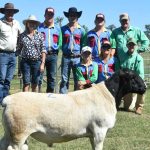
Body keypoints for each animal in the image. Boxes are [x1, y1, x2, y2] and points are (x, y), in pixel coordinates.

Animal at [0, 68, 146, 149]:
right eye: (132, 77)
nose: (144, 88)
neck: (108, 94)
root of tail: (8, 100)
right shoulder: (100, 130)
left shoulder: (92, 134)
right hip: (19, 132)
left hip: (9, 131)